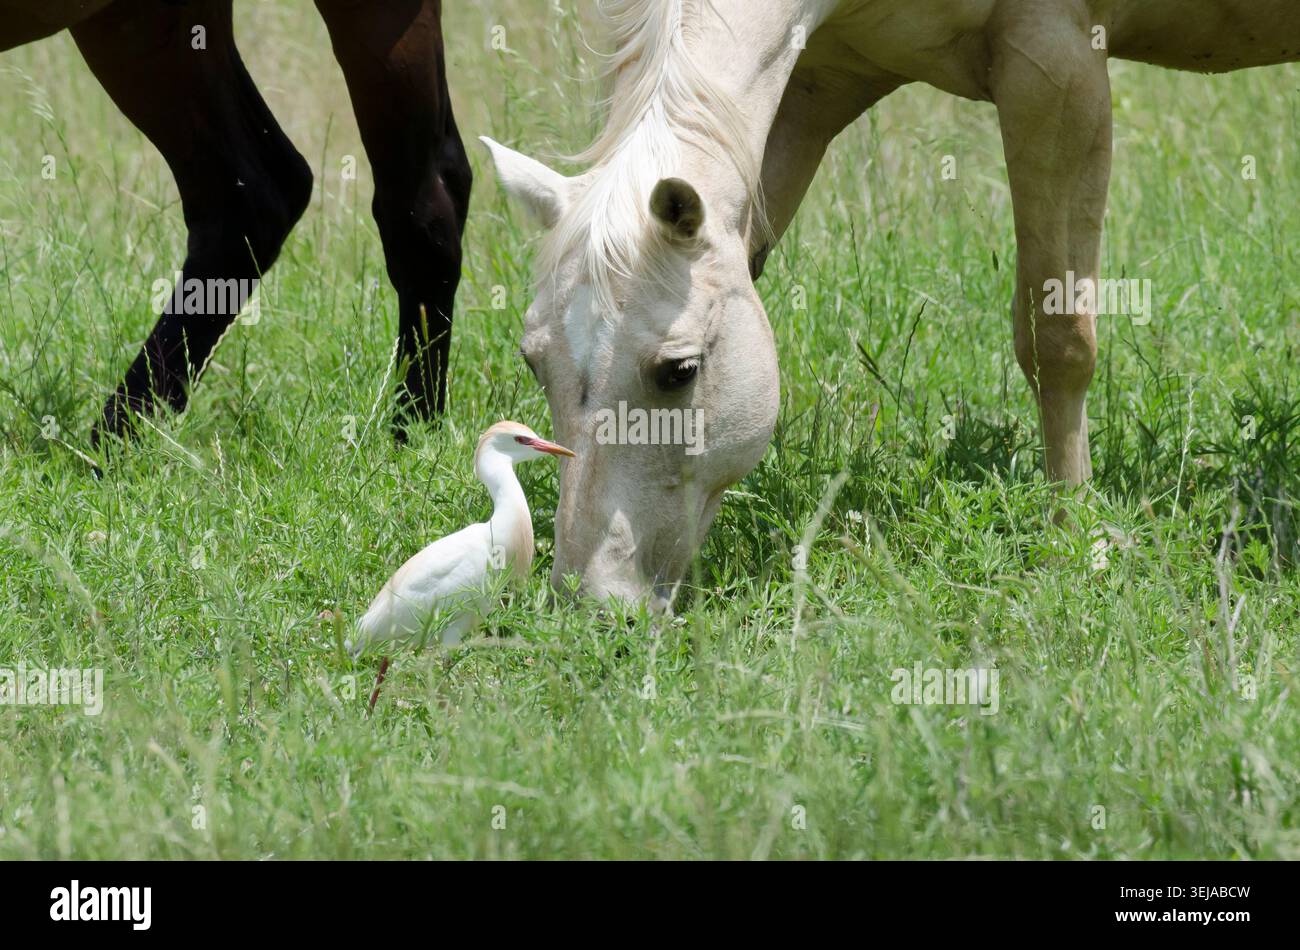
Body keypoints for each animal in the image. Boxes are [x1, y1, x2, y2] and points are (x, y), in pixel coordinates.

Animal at [483, 0, 1300, 610]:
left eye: (678, 371)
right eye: (534, 362)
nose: (592, 604)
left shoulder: (1057, 69)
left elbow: (1057, 335)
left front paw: (1078, 541)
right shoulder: (819, 83)